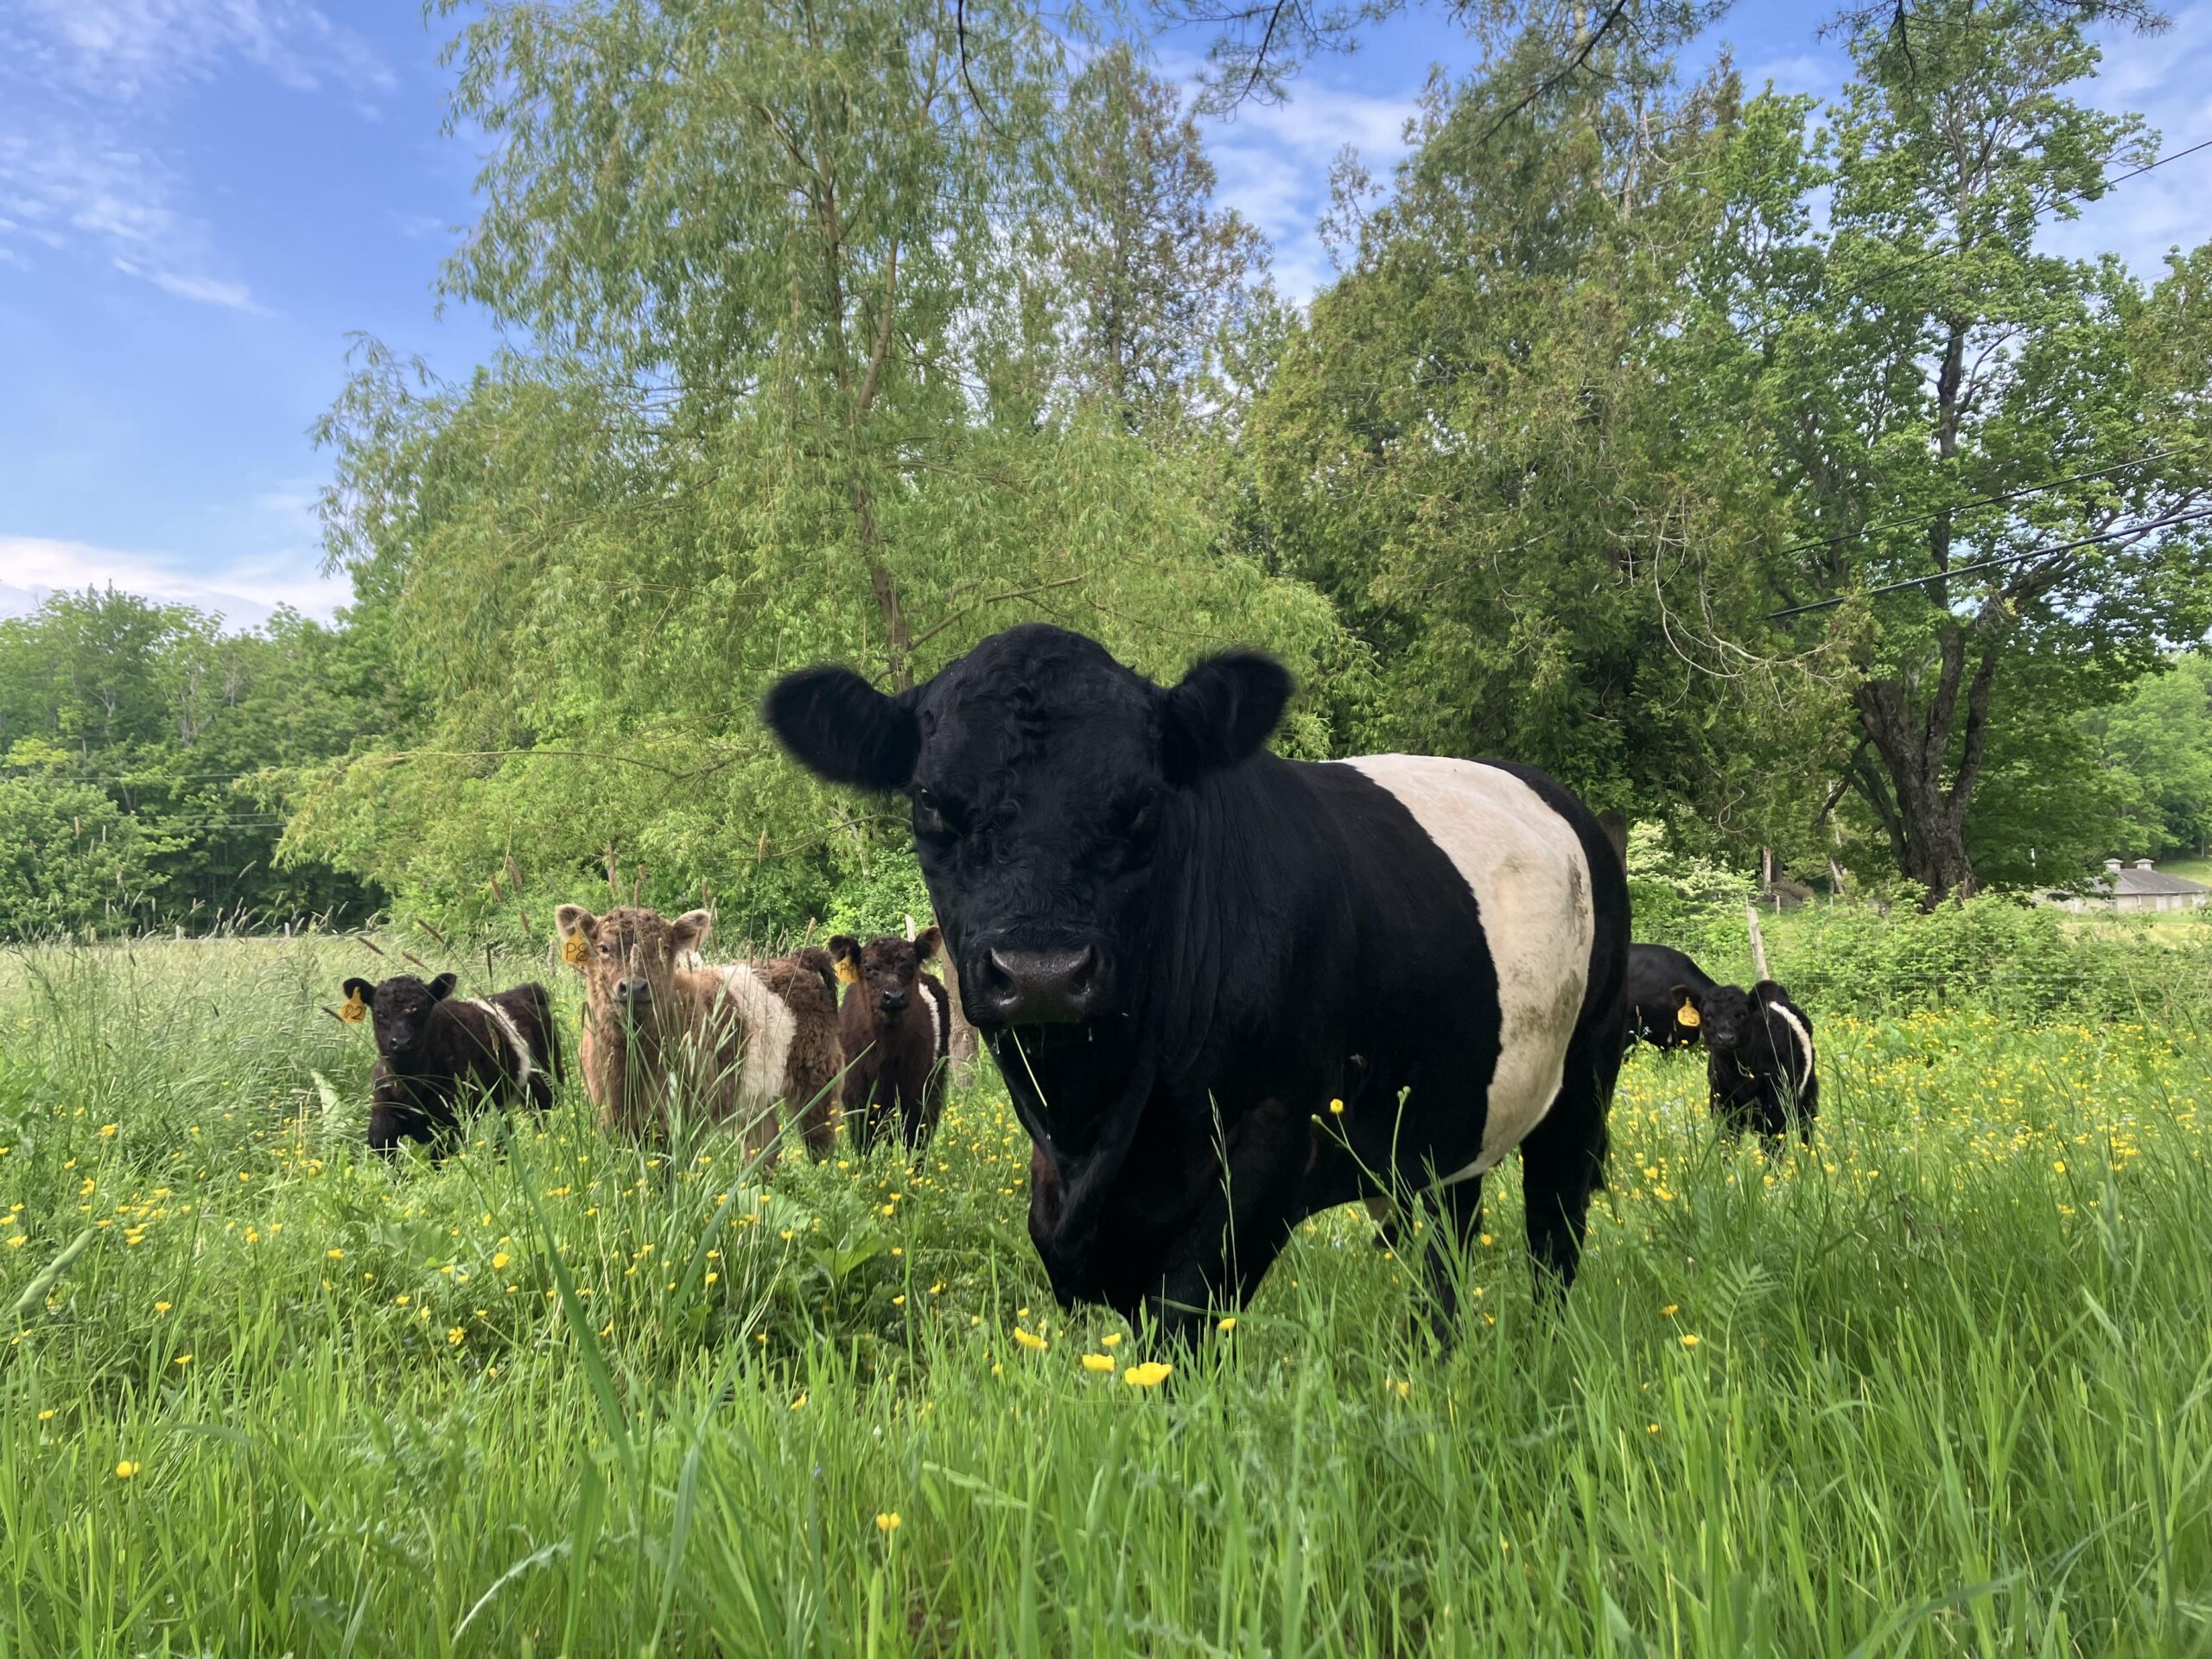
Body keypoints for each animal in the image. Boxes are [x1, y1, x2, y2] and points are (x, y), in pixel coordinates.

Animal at [337, 972, 558, 1154]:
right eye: (380, 1013)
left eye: (421, 1010)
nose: (401, 1042)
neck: (409, 1083)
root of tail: (526, 990)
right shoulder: (383, 1123)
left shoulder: (449, 1125)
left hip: (546, 1084)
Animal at [553, 904, 842, 1161]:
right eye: (604, 948)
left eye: (663, 949)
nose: (634, 987)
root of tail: (796, 960)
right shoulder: (612, 1118)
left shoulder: (684, 1117)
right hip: (756, 1096)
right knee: (764, 1146)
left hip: (818, 1078)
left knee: (821, 1142)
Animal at [829, 928, 953, 1157]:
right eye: (868, 968)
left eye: (910, 965)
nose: (894, 997)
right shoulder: (856, 1100)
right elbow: (863, 1147)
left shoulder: (916, 1096)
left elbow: (915, 1142)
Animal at [1670, 978, 1817, 1149]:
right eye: (1708, 1015)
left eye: (1742, 1014)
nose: (1725, 1038)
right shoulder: (1722, 1106)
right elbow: (1727, 1144)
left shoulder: (1776, 1110)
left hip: (1808, 1097)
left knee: (1806, 1131)